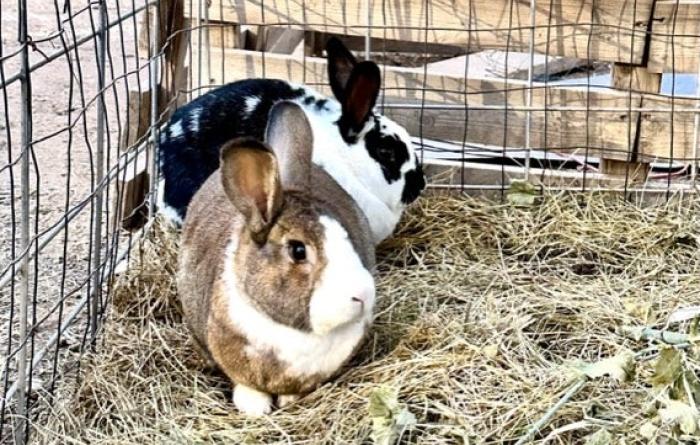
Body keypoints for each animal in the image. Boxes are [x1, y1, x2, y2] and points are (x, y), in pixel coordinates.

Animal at [177, 101, 376, 416]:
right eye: (298, 250)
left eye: (347, 235)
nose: (363, 295)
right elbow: (247, 387)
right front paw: (255, 408)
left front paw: (288, 401)